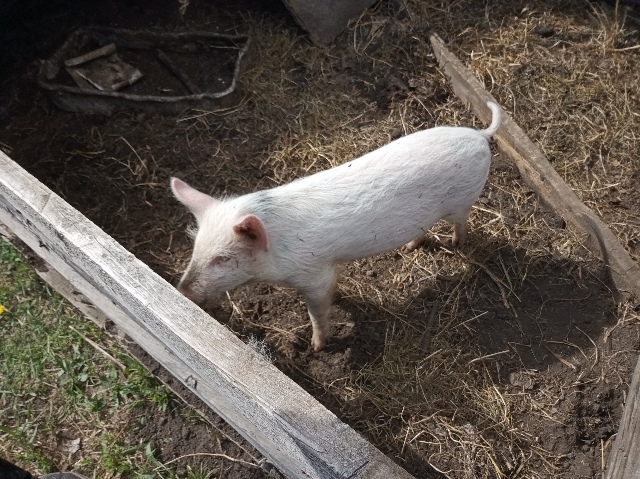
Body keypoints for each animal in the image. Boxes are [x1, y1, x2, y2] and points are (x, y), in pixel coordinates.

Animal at [172, 102, 502, 352]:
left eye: (223, 259)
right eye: (195, 247)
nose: (182, 291)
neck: (277, 250)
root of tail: (479, 134)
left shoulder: (314, 273)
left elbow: (317, 311)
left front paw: (317, 347)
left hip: (462, 200)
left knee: (462, 222)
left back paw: (457, 244)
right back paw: (410, 248)